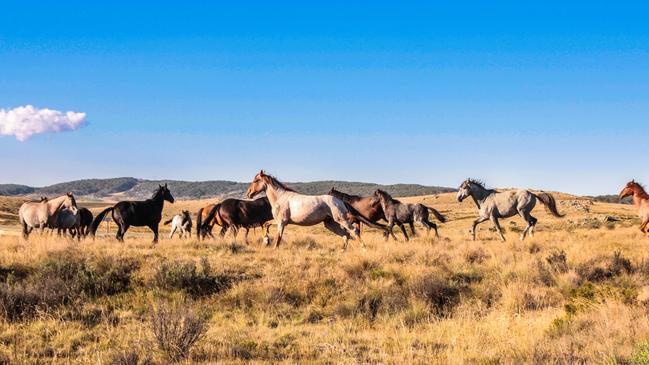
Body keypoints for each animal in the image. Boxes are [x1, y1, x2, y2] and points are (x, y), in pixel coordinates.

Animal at [246, 171, 382, 250]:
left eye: (255, 180)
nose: (249, 194)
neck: (280, 197)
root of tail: (341, 201)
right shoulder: (279, 221)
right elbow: (266, 224)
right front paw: (265, 240)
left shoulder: (281, 222)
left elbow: (278, 237)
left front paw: (272, 246)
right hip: (330, 223)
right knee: (345, 234)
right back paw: (342, 251)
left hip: (341, 220)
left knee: (353, 231)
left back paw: (363, 248)